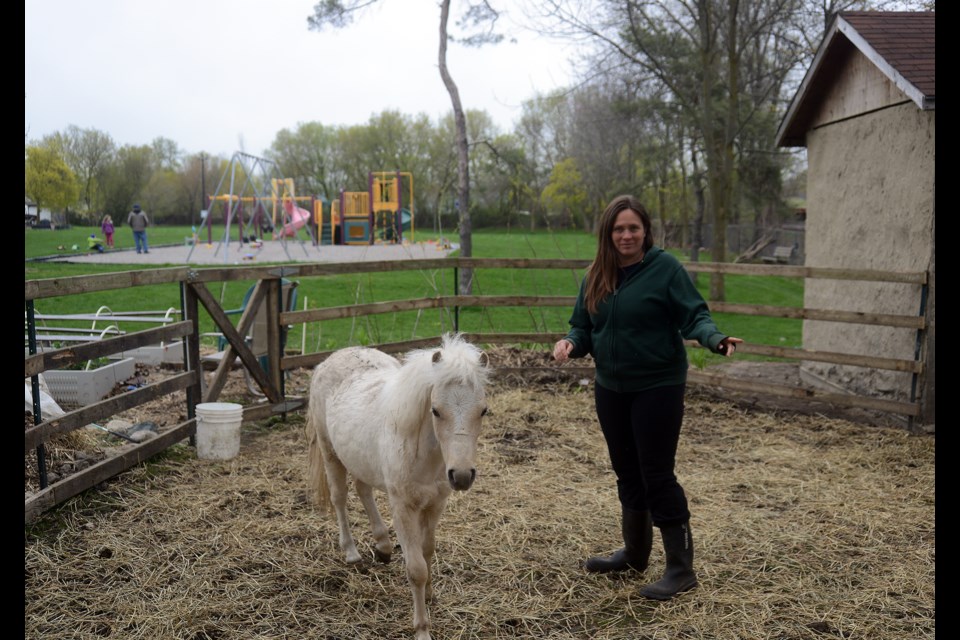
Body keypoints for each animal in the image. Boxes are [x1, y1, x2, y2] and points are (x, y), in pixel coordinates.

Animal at [306, 336, 488, 640]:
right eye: (436, 411)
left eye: (484, 411)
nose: (462, 476)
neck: (426, 457)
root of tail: (329, 360)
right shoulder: (404, 508)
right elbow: (416, 569)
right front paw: (422, 629)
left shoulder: (435, 504)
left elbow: (427, 552)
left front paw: (430, 596)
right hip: (330, 452)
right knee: (340, 498)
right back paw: (351, 553)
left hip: (360, 459)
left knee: (363, 490)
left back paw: (383, 546)